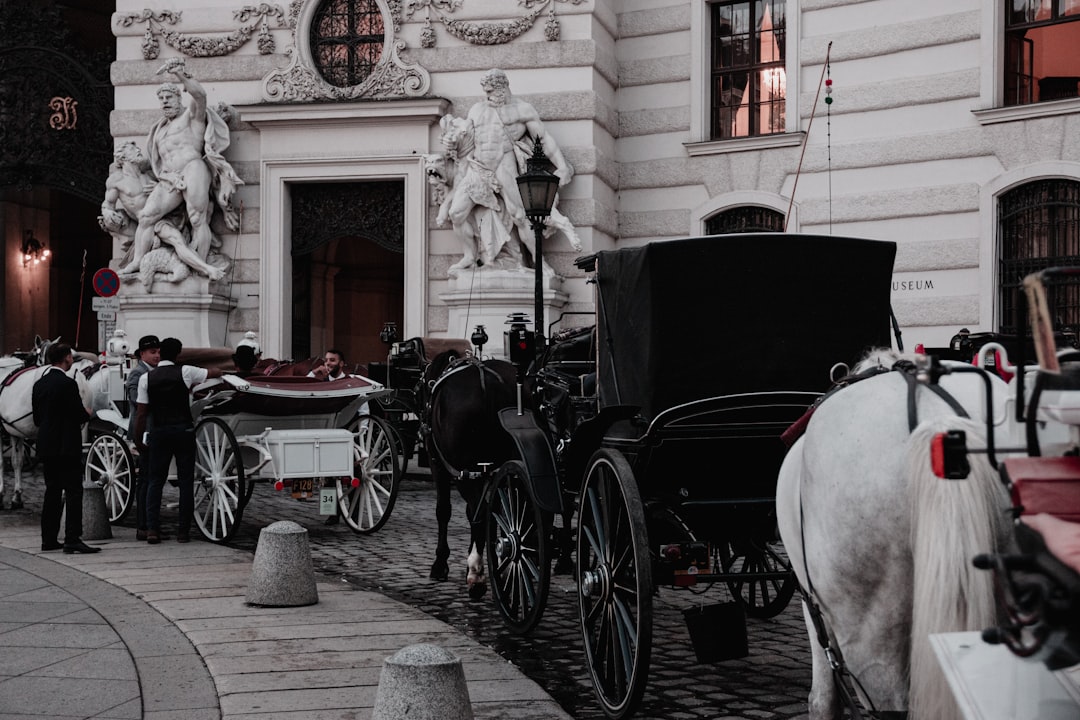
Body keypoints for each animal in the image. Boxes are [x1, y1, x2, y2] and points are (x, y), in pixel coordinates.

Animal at [421, 349, 518, 595]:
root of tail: (488, 381)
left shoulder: (439, 465)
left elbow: (444, 510)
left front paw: (440, 564)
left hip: (465, 469)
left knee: (479, 512)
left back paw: (476, 573)